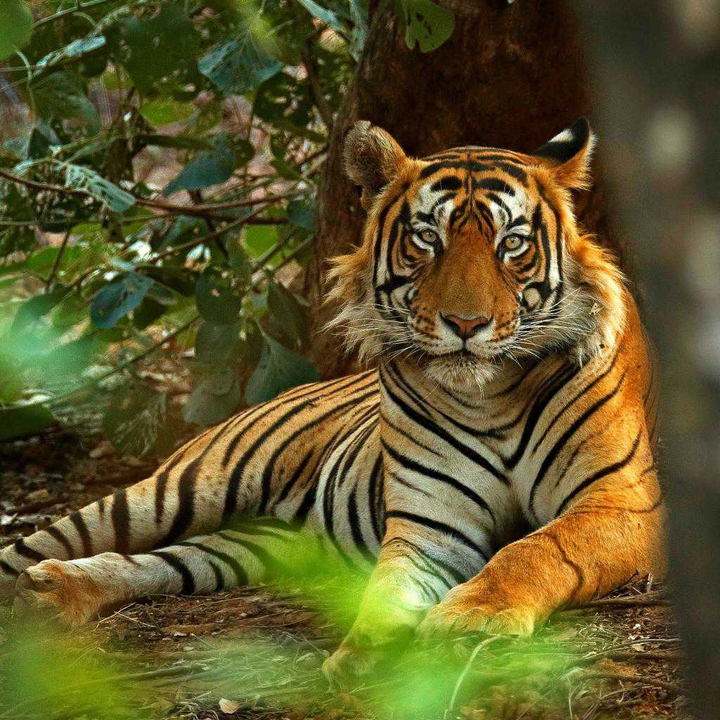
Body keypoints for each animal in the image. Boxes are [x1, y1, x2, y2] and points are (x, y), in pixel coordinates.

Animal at [0, 118, 664, 686]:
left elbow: (535, 550)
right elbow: (387, 592)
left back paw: (56, 592)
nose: (466, 323)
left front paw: (469, 619)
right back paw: (43, 586)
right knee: (46, 543)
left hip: (252, 545)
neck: (490, 397)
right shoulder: (428, 526)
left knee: (161, 563)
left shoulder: (621, 503)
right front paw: (366, 656)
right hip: (177, 490)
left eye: (512, 244)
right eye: (428, 239)